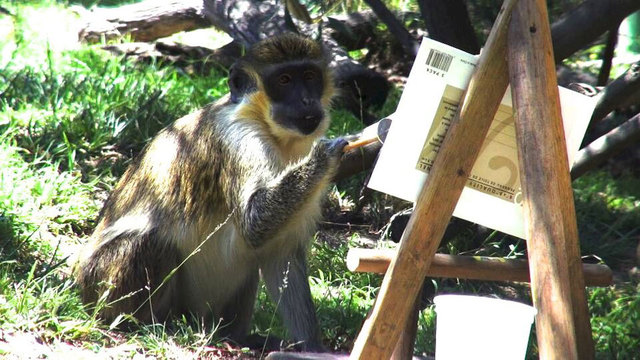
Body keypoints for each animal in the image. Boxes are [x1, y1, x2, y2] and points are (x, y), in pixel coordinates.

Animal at [72, 33, 344, 352]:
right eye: (285, 80)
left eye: (310, 76)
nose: (306, 101)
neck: (275, 134)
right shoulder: (239, 137)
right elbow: (254, 222)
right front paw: (328, 154)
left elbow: (280, 253)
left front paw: (314, 348)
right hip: (101, 282)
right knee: (152, 242)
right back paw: (142, 324)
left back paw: (236, 336)